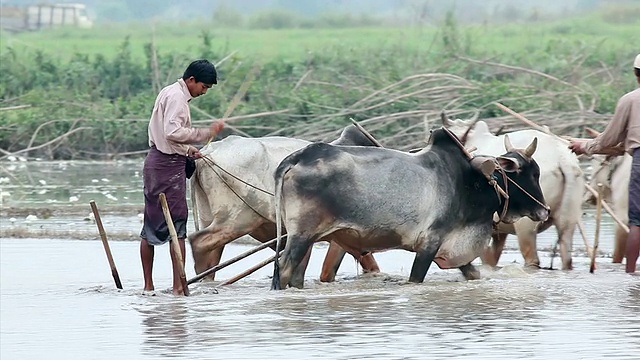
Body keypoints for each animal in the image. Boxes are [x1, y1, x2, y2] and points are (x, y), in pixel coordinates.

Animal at [444, 113, 584, 270]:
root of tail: (562, 158)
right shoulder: (498, 233)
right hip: (568, 221)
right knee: (566, 256)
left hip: (526, 226)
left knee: (532, 259)